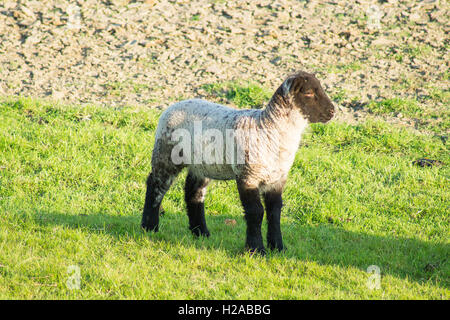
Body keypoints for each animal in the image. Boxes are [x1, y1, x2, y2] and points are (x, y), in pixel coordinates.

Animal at [141, 71, 334, 254]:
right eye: (308, 93)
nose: (332, 111)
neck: (269, 129)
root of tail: (172, 106)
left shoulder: (276, 179)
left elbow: (275, 212)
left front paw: (278, 247)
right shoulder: (248, 176)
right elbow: (256, 212)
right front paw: (256, 249)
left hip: (201, 164)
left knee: (193, 193)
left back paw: (201, 232)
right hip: (167, 153)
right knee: (155, 186)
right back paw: (149, 226)